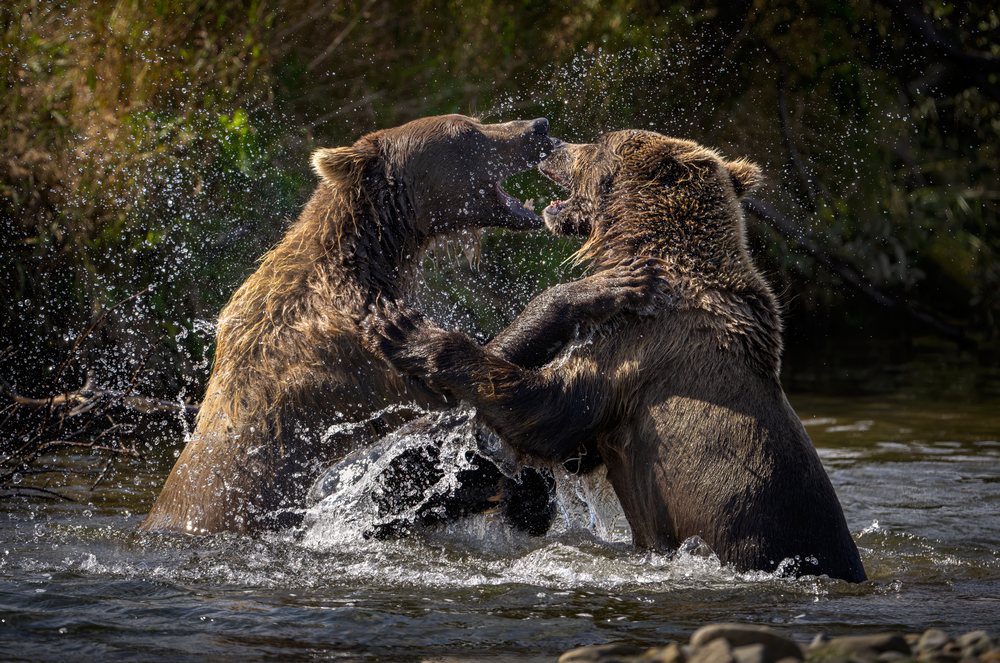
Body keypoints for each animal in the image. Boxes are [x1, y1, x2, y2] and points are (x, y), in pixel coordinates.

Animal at [141, 114, 557, 535]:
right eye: (466, 132)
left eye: (475, 122)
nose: (538, 127)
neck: (370, 257)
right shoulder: (359, 361)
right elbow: (448, 403)